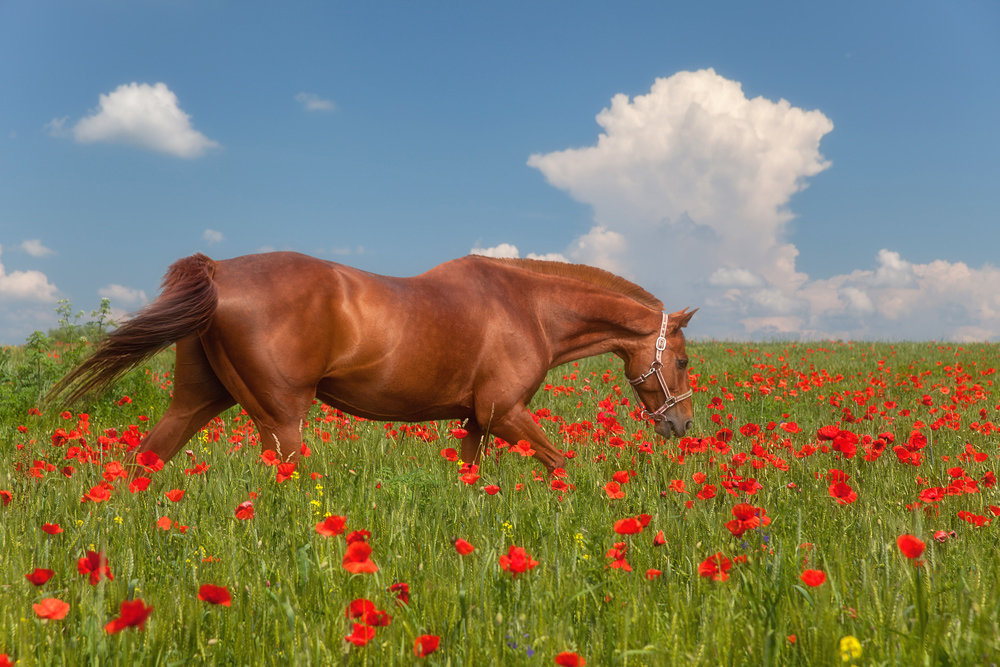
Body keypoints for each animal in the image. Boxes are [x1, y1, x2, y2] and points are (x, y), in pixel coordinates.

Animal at [48, 252, 696, 474]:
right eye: (686, 360)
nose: (682, 424)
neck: (528, 308)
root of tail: (219, 271)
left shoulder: (478, 422)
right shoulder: (507, 413)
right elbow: (562, 463)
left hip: (197, 404)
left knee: (147, 460)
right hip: (281, 420)